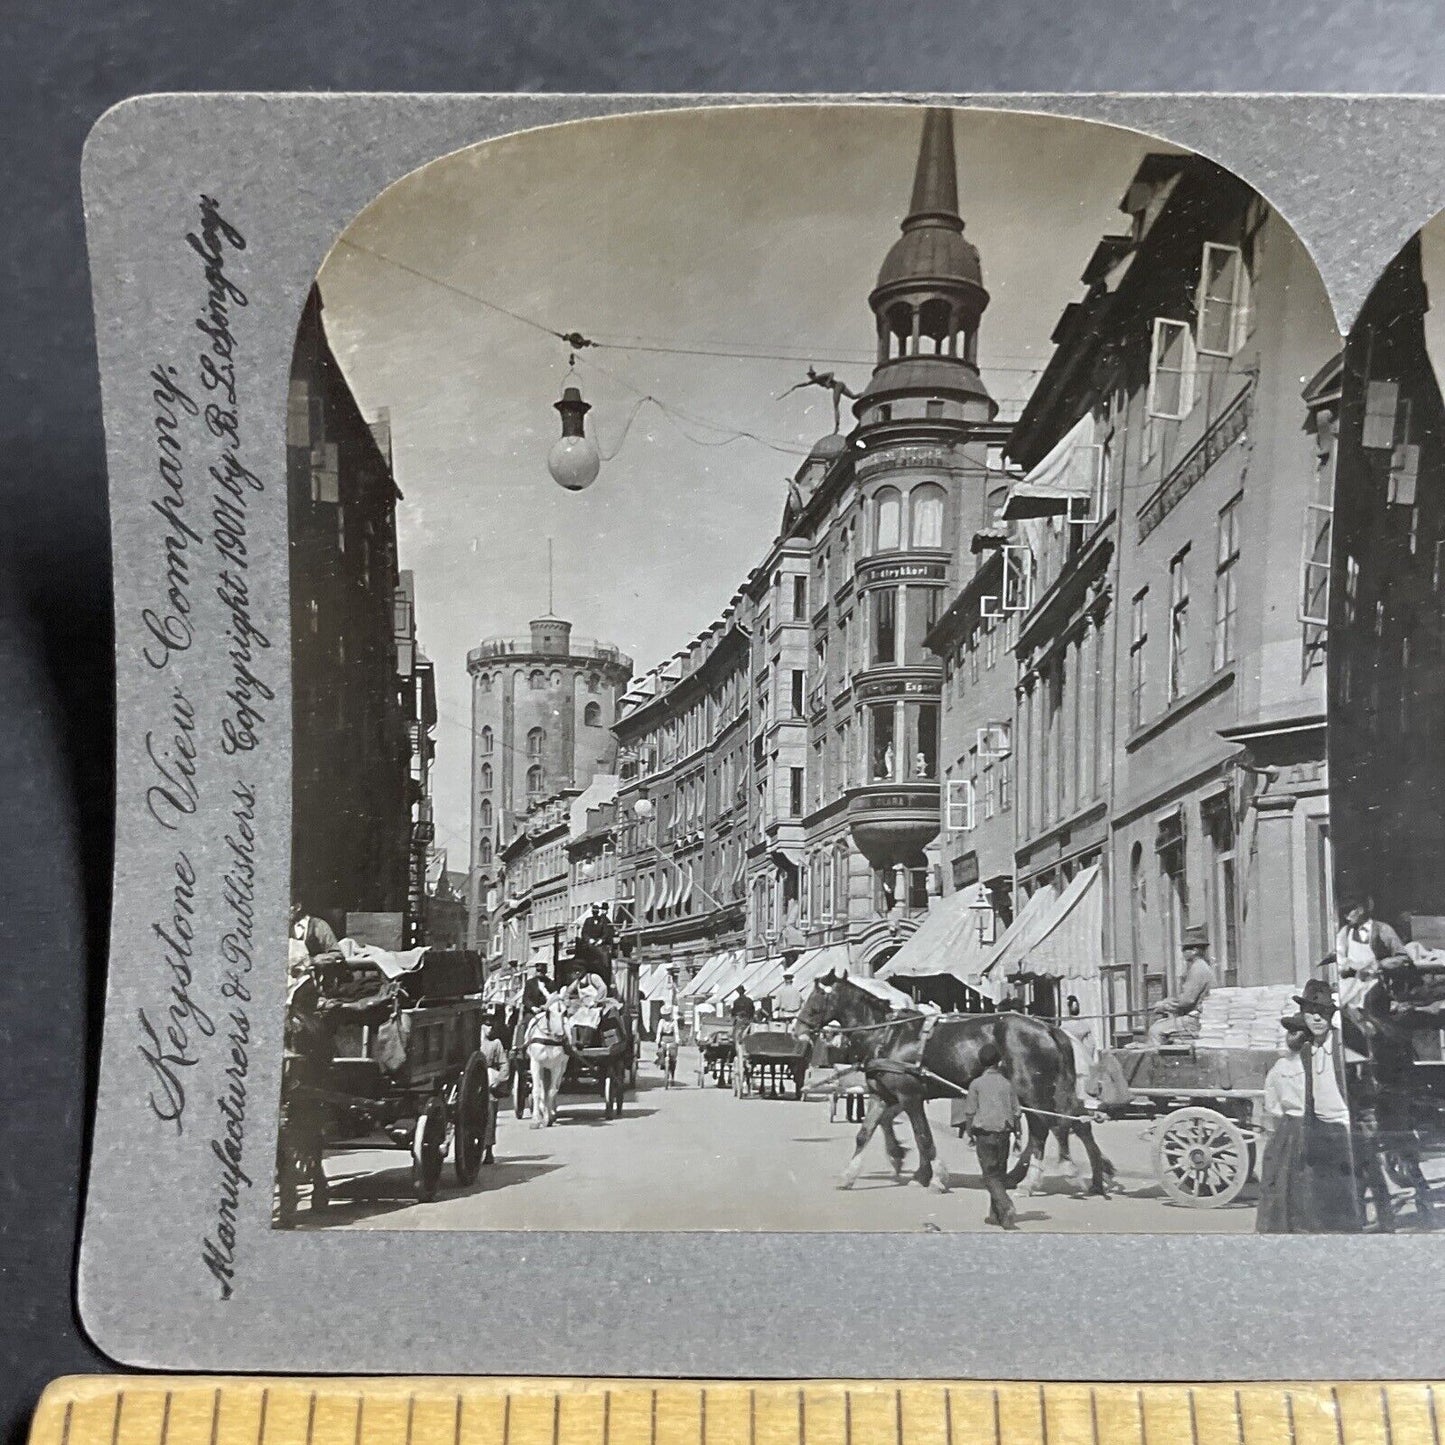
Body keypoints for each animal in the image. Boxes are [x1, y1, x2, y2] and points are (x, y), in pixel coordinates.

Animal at [523, 994, 572, 1127]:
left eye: (565, 1012)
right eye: (548, 1012)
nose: (559, 1035)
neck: (548, 1039)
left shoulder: (556, 1066)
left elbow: (551, 1091)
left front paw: (548, 1118)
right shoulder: (535, 1064)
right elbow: (537, 1091)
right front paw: (536, 1120)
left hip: (561, 1068)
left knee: (554, 1088)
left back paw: (551, 1113)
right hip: (542, 1068)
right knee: (541, 1089)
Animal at [797, 982, 1109, 1196]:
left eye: (816, 1000)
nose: (797, 1029)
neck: (889, 1034)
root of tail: (1048, 1029)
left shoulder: (910, 1096)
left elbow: (923, 1136)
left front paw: (934, 1177)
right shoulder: (883, 1095)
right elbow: (865, 1133)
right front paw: (850, 1175)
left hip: (1032, 1090)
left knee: (1047, 1129)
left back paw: (1039, 1179)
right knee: (1059, 1126)